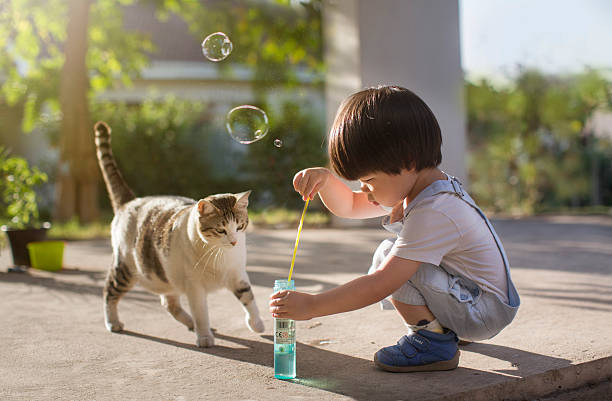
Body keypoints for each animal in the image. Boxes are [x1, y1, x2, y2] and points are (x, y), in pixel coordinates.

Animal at [93, 119, 262, 346]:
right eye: (221, 230)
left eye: (240, 226)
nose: (234, 241)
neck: (220, 255)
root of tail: (130, 201)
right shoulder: (194, 287)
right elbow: (202, 312)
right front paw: (204, 336)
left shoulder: (238, 274)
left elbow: (249, 298)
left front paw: (257, 323)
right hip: (125, 269)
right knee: (109, 292)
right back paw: (113, 323)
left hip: (165, 276)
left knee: (169, 303)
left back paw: (189, 323)